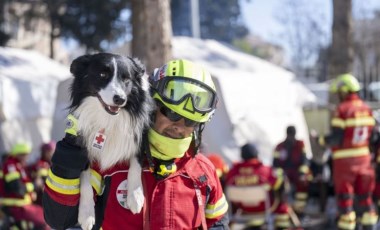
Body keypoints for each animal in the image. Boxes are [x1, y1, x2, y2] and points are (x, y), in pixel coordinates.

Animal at [67, 52, 154, 230]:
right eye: (102, 75)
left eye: (126, 79)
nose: (119, 99)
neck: (108, 119)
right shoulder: (81, 147)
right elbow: (84, 178)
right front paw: (86, 214)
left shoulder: (139, 137)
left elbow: (136, 164)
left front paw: (135, 196)